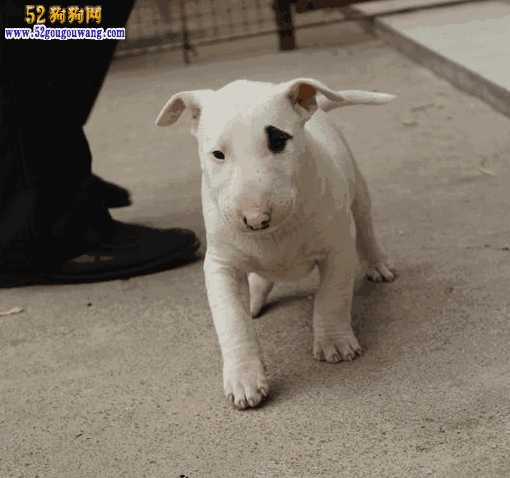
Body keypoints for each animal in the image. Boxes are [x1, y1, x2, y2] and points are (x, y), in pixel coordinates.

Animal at [157, 78, 396, 410]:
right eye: (217, 154)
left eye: (279, 141)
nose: (255, 219)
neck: (274, 234)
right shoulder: (220, 265)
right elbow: (232, 320)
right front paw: (244, 379)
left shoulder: (338, 248)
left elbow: (332, 297)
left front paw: (334, 342)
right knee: (260, 277)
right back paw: (254, 298)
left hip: (357, 191)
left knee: (365, 226)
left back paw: (378, 264)